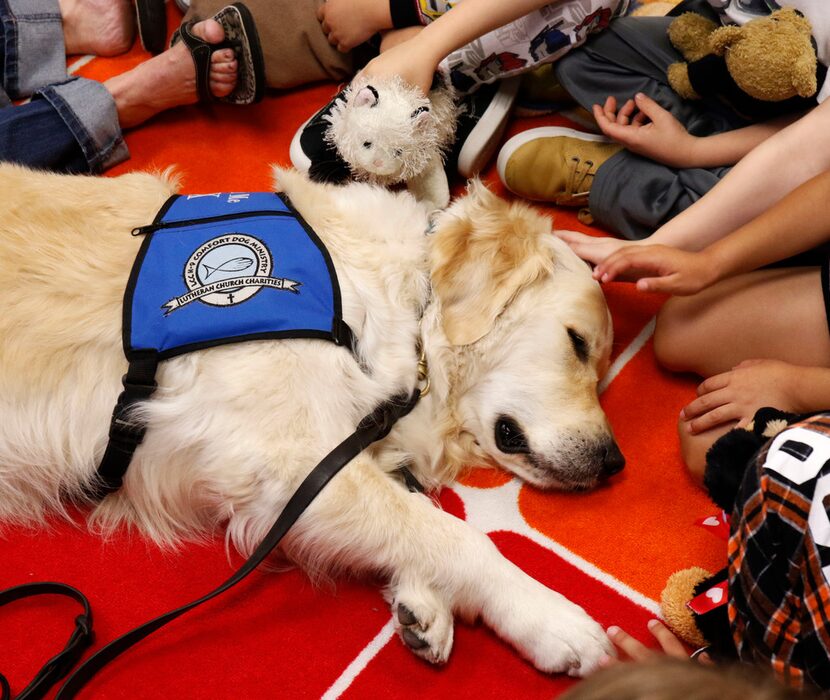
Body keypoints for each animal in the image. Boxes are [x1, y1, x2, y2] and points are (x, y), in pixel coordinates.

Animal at [0, 161, 624, 676]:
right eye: (577, 344)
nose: (613, 462)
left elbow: (417, 512)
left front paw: (423, 603)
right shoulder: (286, 462)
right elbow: (454, 535)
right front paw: (550, 618)